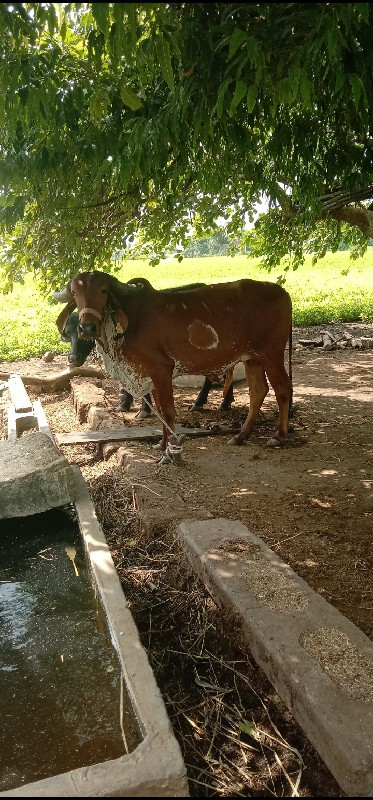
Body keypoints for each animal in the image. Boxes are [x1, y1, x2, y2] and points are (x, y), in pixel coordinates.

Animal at [56, 272, 292, 454]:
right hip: (252, 358)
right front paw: (161, 444)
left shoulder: (162, 369)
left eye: (104, 290)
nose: (87, 328)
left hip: (271, 354)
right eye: (75, 293)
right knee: (258, 392)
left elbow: (168, 410)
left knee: (282, 389)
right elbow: (160, 409)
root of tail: (282, 291)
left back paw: (278, 435)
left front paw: (169, 448)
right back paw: (241, 435)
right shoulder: (151, 373)